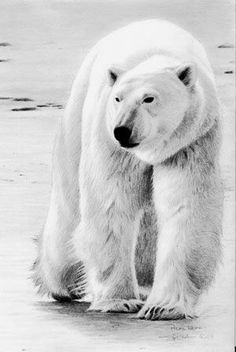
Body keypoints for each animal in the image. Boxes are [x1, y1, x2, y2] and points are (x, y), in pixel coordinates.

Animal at [33, 20, 223, 320]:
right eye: (118, 98)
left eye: (149, 99)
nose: (122, 130)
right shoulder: (110, 143)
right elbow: (112, 204)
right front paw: (119, 300)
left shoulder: (191, 142)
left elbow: (184, 207)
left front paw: (163, 306)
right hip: (77, 118)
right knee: (67, 214)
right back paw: (61, 285)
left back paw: (144, 286)